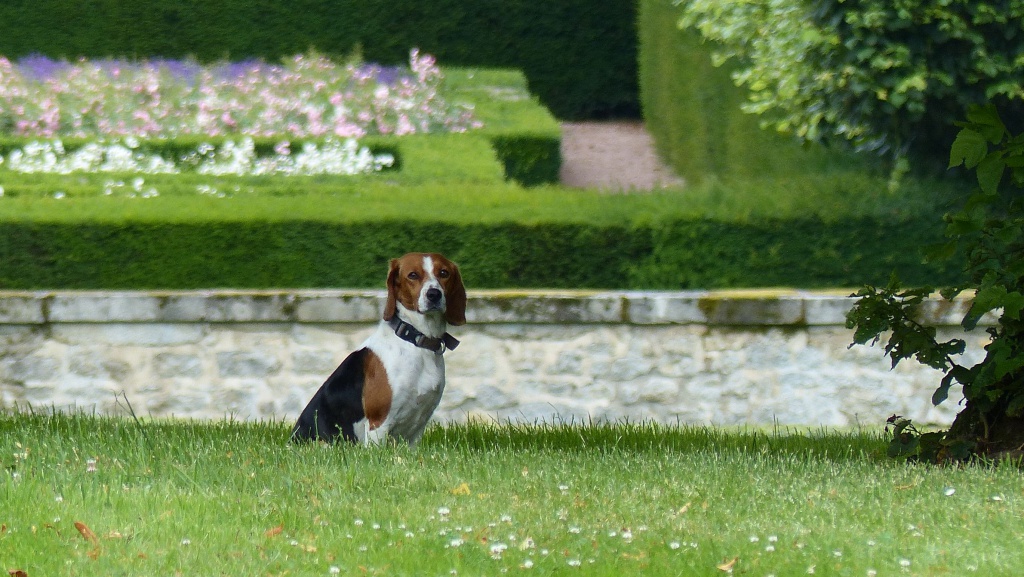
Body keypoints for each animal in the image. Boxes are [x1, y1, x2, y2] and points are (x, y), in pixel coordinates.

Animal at [292, 253, 468, 446]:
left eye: (444, 273)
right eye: (413, 275)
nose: (434, 294)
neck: (416, 341)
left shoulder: (417, 429)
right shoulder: (379, 422)